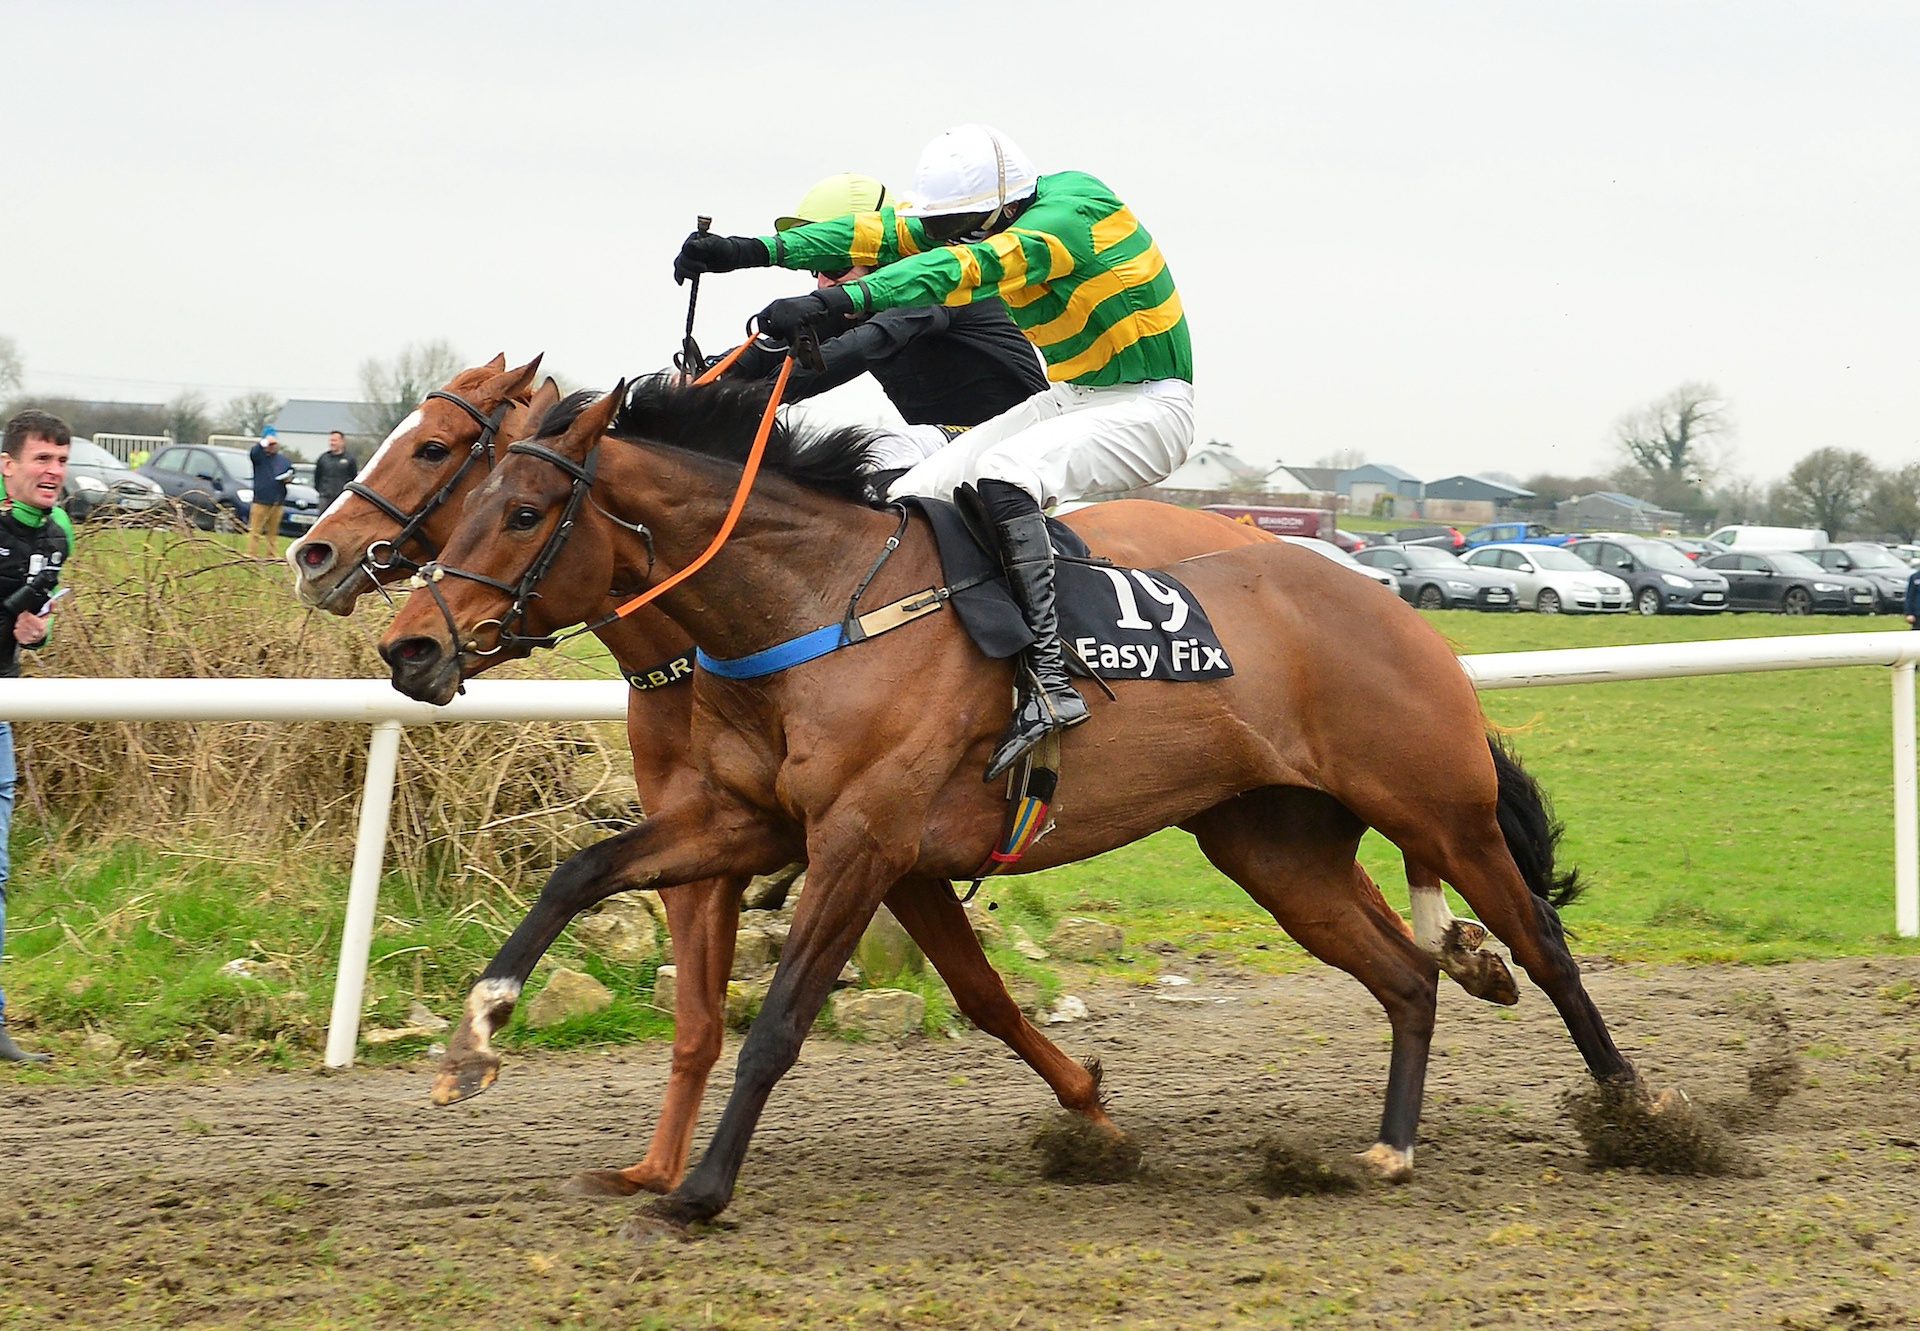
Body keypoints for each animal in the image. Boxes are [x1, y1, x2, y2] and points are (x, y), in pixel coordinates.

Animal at [378, 376, 1666, 1221]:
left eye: (522, 511)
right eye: (471, 495)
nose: (406, 647)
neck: (817, 606)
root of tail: (1398, 603)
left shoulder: (863, 840)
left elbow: (782, 1020)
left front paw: (697, 1189)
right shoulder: (756, 823)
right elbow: (578, 869)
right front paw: (475, 1036)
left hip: (1438, 806)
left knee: (1543, 945)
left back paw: (1640, 1113)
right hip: (1276, 847)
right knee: (1405, 973)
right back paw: (1390, 1149)